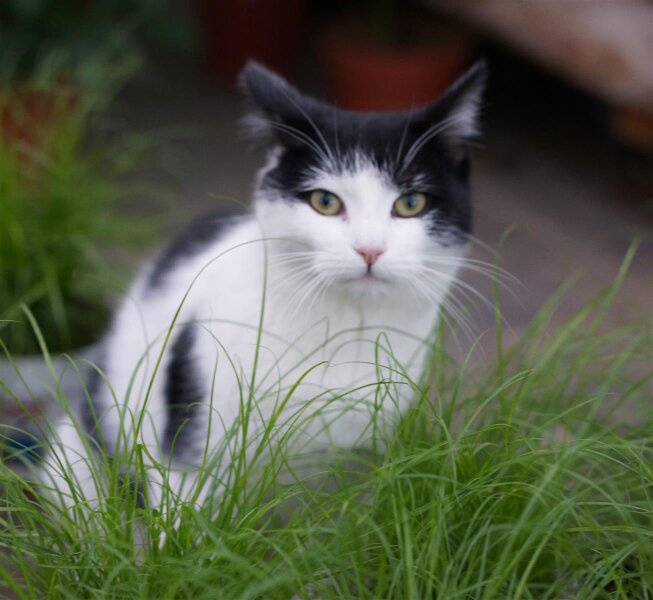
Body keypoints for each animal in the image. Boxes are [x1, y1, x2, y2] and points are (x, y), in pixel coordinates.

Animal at [40, 59, 486, 510]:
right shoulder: (190, 441)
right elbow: (187, 516)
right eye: (325, 202)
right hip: (75, 450)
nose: (369, 249)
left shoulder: (369, 458)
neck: (345, 327)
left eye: (411, 203)